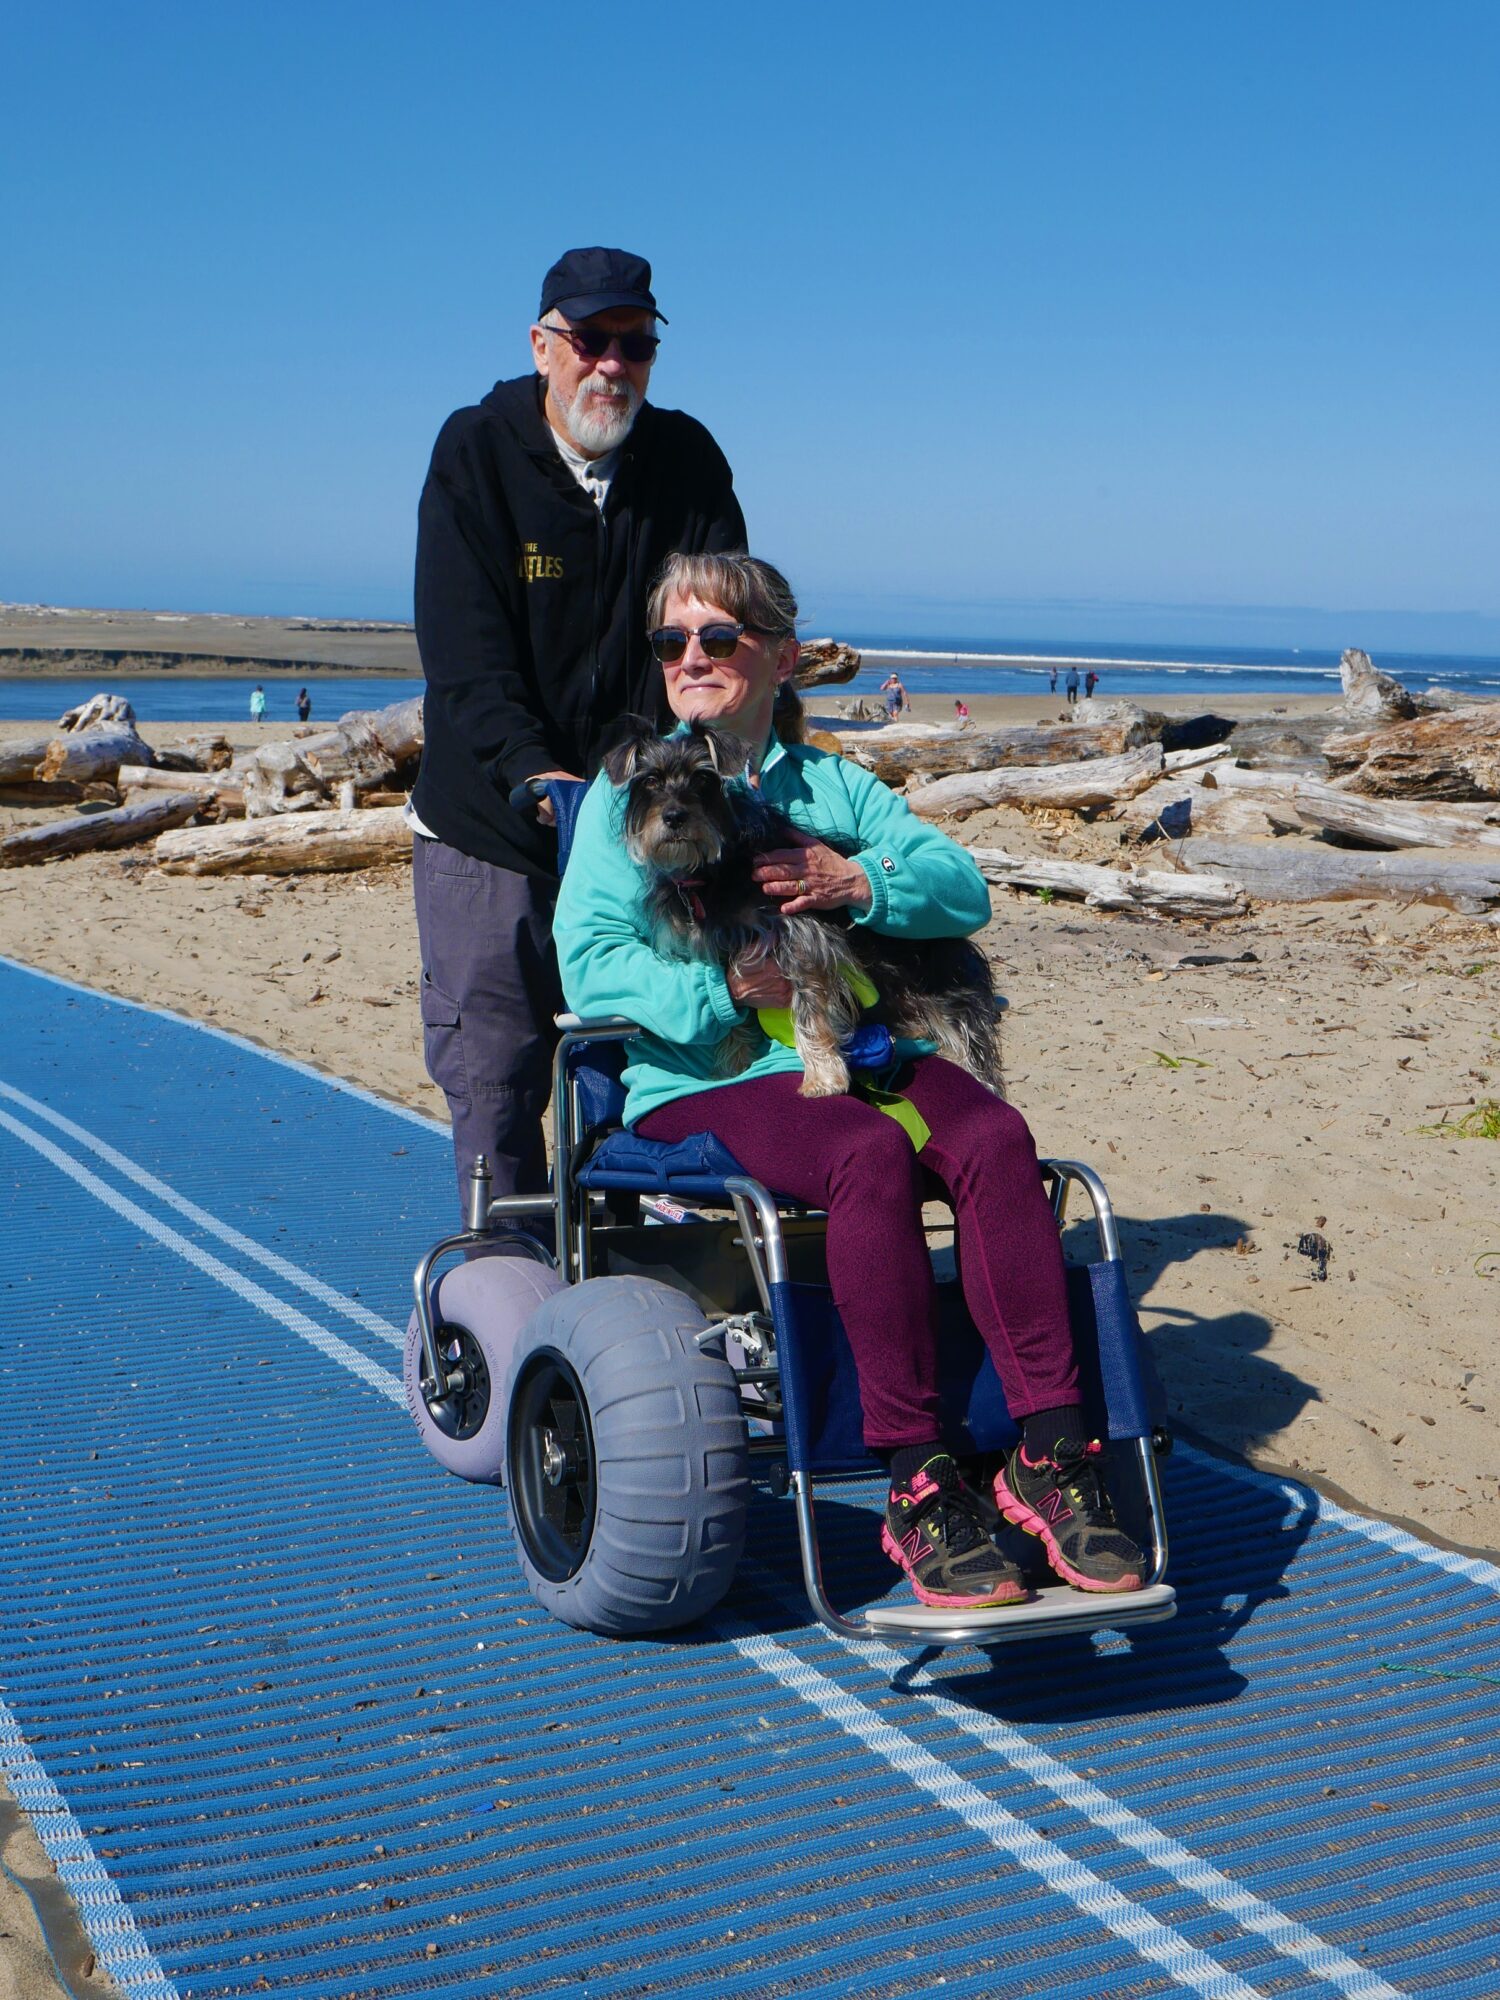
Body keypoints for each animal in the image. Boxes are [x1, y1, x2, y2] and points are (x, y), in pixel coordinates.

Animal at [604, 720, 1004, 1096]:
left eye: (702, 777)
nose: (674, 816)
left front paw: (823, 1075)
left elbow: (809, 1007)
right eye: (650, 780)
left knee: (972, 1049)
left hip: (947, 994)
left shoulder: (803, 937)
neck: (717, 867)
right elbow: (736, 1016)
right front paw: (732, 1065)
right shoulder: (725, 948)